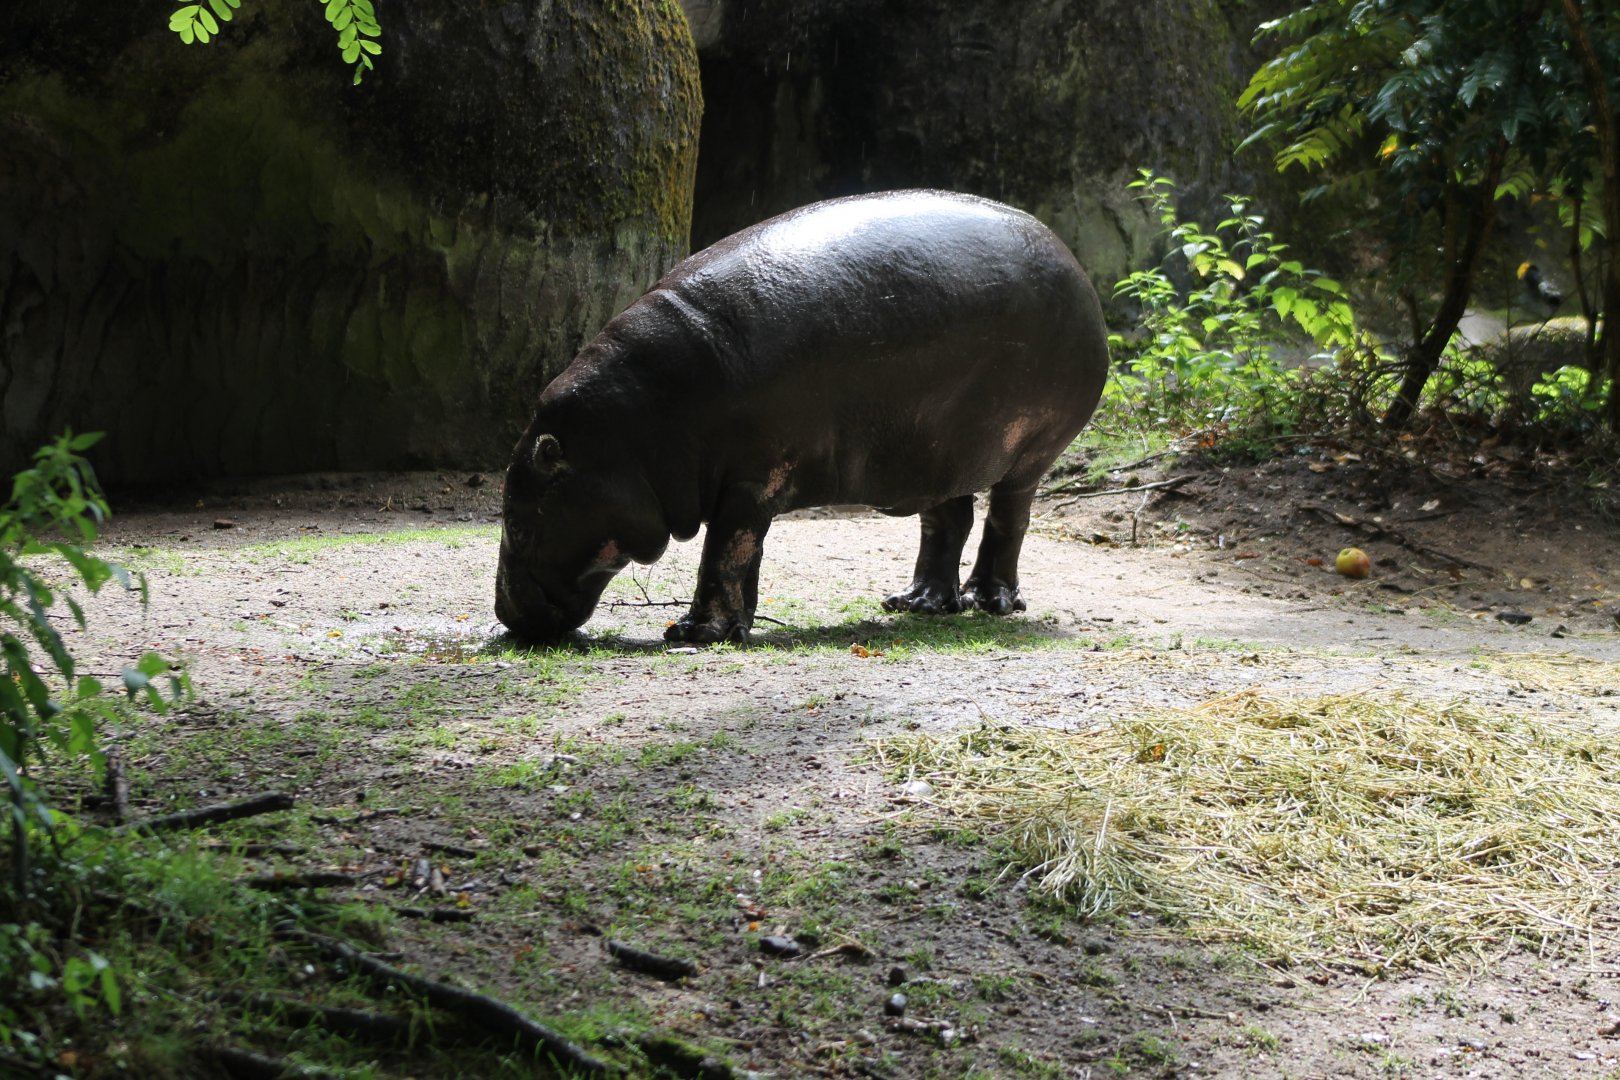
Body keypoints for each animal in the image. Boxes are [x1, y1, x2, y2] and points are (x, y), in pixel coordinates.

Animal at [495, 190, 1109, 644]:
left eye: (520, 526)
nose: (503, 615)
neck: (634, 431)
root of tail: (1074, 260)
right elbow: (742, 557)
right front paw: (728, 629)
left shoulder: (750, 481)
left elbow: (726, 552)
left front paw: (693, 633)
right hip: (931, 454)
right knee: (947, 521)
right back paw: (917, 603)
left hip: (1029, 451)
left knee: (1008, 520)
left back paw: (993, 602)